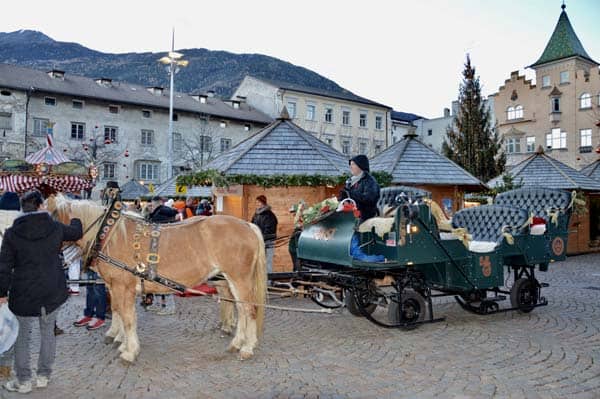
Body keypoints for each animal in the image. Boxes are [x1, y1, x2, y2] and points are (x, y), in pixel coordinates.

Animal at [49, 192, 268, 364]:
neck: (108, 235)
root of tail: (247, 225)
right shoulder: (113, 286)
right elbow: (119, 311)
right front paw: (121, 341)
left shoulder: (123, 287)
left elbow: (128, 318)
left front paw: (129, 351)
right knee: (240, 308)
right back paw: (236, 343)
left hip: (239, 279)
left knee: (249, 310)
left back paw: (247, 348)